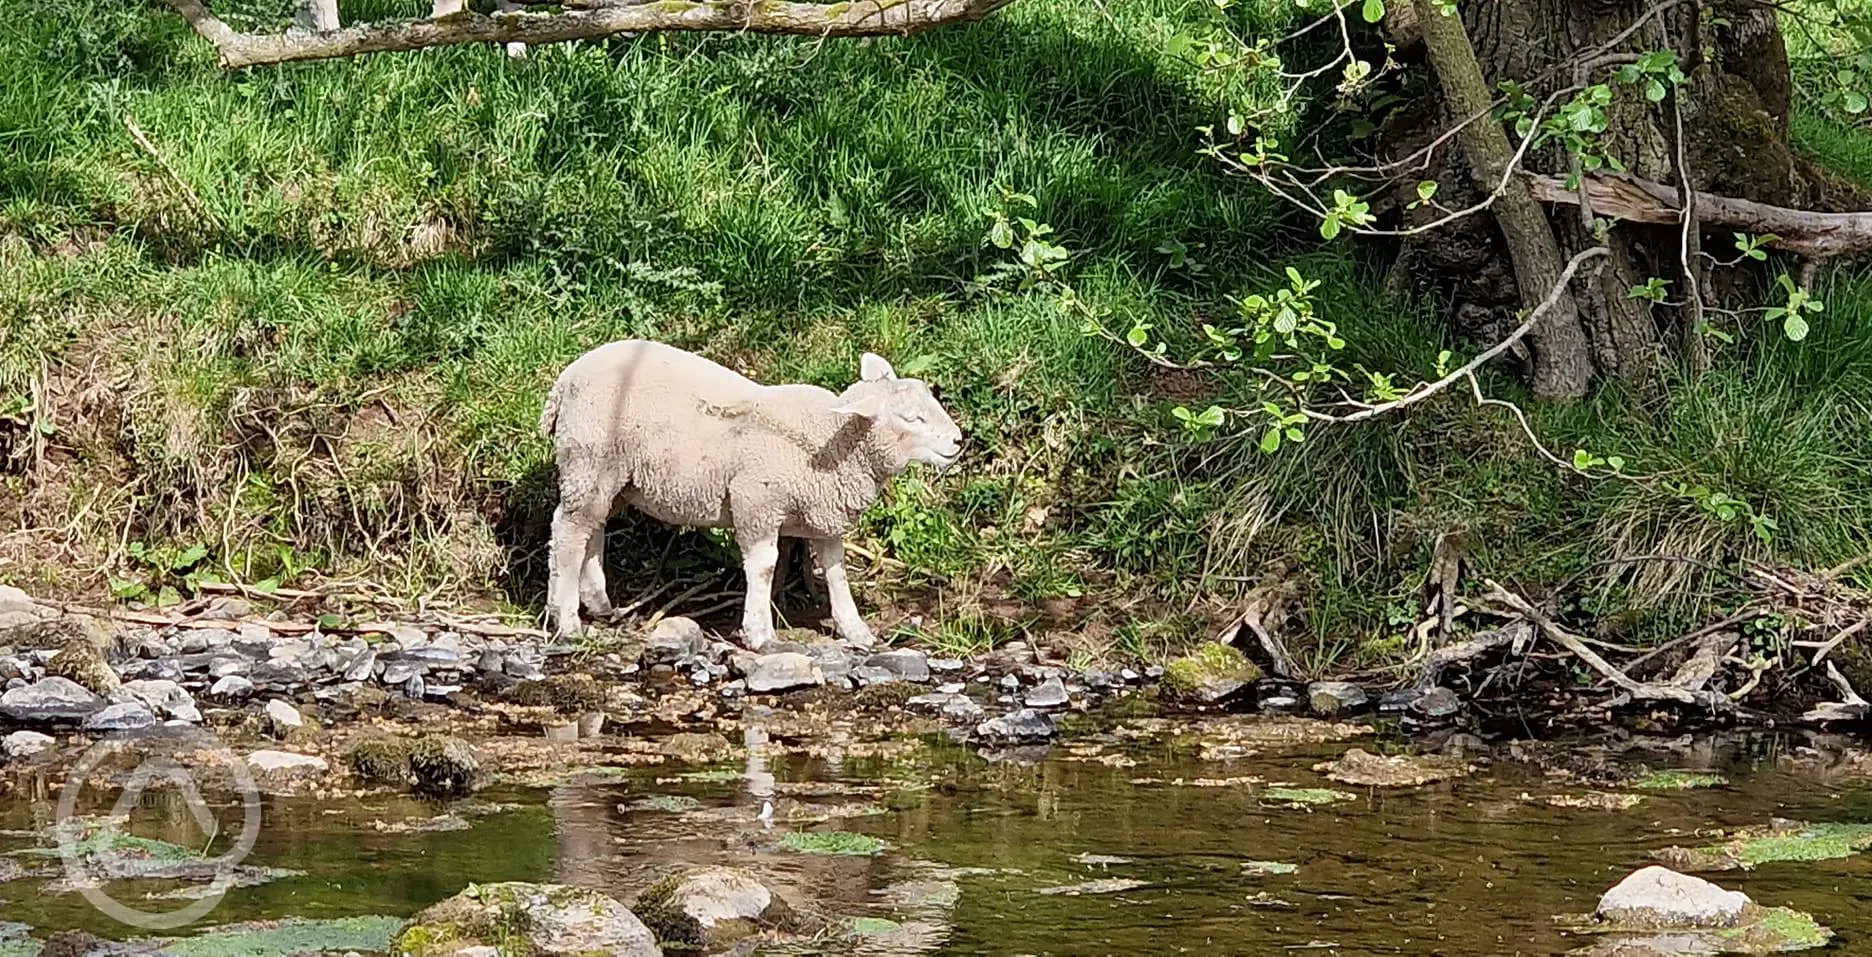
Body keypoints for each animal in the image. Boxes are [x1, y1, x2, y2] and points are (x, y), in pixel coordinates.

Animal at [531, 340, 958, 647]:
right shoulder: (756, 501)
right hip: (589, 459)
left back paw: (597, 602)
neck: (828, 442)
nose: (958, 440)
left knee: (592, 527)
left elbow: (836, 572)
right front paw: (759, 633)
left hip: (611, 476)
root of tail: (566, 380)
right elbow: (765, 566)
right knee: (568, 532)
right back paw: (566, 620)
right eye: (911, 418)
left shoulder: (825, 516)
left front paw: (856, 630)